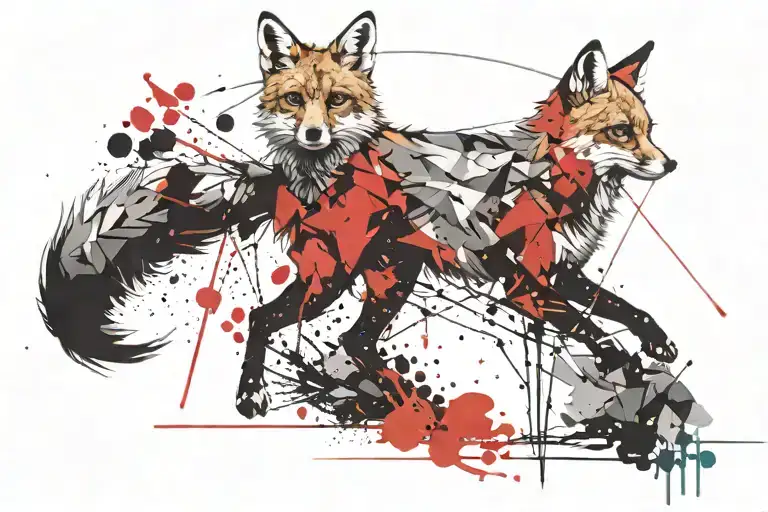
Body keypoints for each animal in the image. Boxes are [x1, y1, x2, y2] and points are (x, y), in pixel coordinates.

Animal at [37, 11, 679, 422]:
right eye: (621, 133)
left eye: (649, 130)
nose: (670, 163)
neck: (548, 181)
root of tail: (302, 173)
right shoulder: (522, 283)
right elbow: (592, 328)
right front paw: (622, 361)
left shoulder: (559, 272)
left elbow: (622, 309)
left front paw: (656, 342)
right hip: (336, 281)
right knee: (268, 319)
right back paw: (256, 396)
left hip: (390, 280)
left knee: (354, 342)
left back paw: (400, 400)